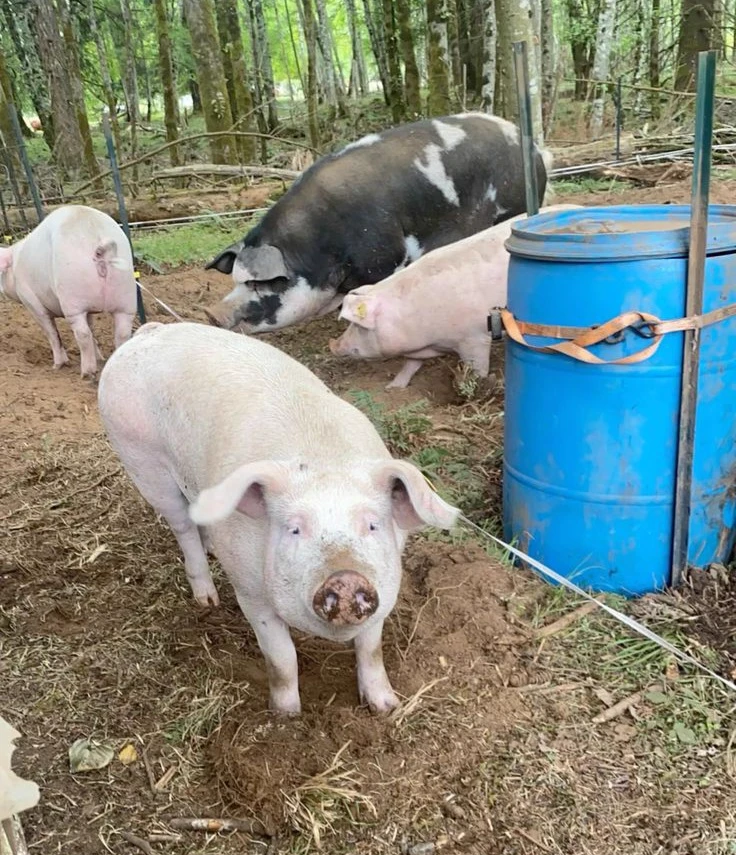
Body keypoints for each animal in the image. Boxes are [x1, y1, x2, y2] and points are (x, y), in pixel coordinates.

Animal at [0, 205, 137, 378]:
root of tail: (101, 248)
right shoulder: (89, 309)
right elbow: (92, 328)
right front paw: (100, 358)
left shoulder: (31, 301)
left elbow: (52, 333)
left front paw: (57, 366)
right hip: (126, 296)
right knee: (122, 333)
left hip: (72, 296)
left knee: (82, 333)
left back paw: (87, 373)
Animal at [97, 321, 459, 714]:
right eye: (295, 529)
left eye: (372, 524)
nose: (345, 578)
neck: (324, 460)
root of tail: (151, 331)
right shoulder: (251, 593)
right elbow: (282, 656)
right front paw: (286, 714)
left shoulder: (384, 595)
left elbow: (371, 649)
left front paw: (387, 707)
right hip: (142, 461)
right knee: (182, 527)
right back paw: (207, 600)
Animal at [204, 112, 553, 334]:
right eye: (235, 280)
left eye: (259, 283)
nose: (211, 312)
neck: (319, 248)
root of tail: (534, 148)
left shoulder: (384, 256)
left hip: (512, 206)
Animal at [329, 204, 585, 389]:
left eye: (357, 326)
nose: (333, 345)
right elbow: (411, 364)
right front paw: (393, 387)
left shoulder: (474, 337)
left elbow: (478, 366)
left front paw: (477, 386)